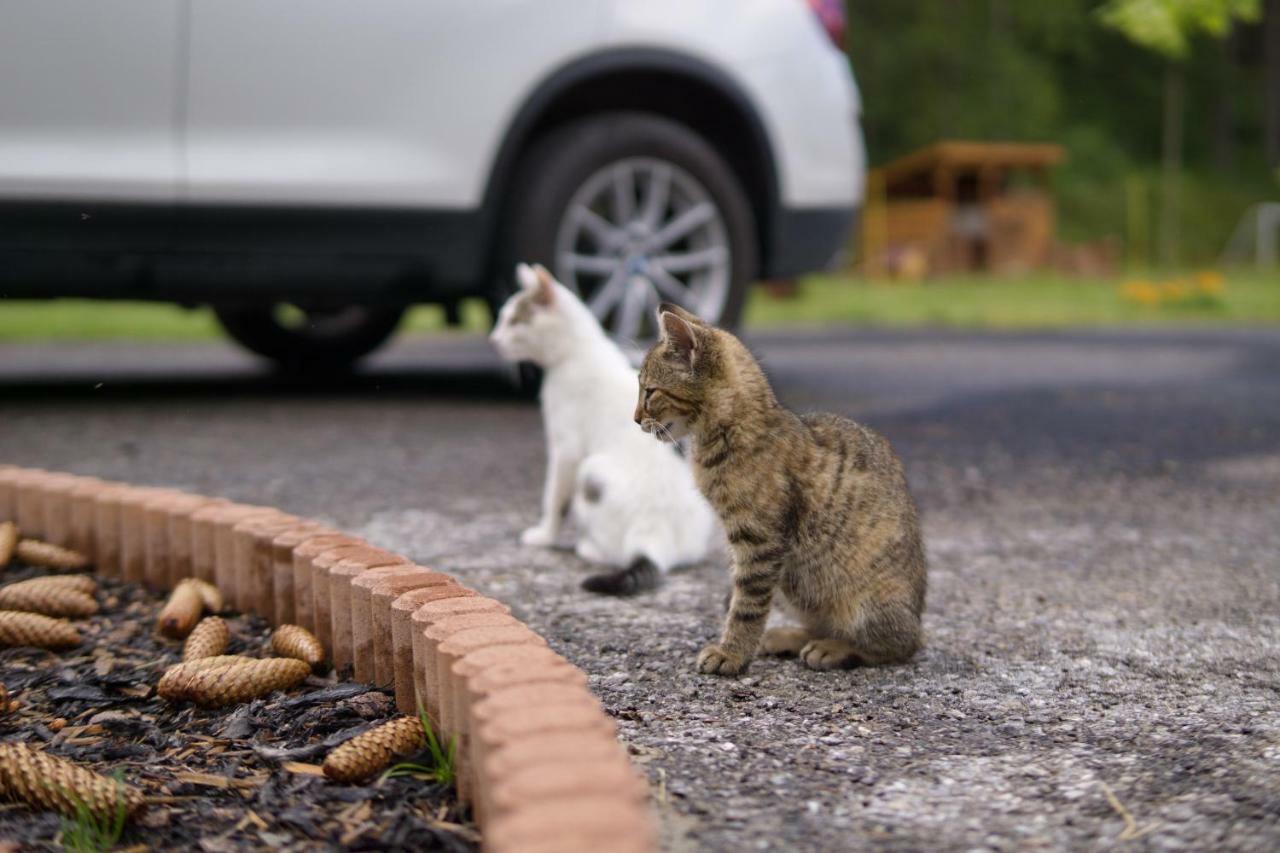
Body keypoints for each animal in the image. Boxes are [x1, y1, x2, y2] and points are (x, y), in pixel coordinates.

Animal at [486, 261, 716, 591]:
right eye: (503, 318)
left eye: (514, 321)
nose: (492, 340)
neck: (577, 352)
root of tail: (655, 537)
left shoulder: (566, 449)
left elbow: (554, 498)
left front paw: (544, 535)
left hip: (590, 471)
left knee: (615, 552)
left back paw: (587, 547)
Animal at [634, 303, 926, 671]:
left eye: (650, 392)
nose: (634, 418)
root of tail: (917, 616)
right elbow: (739, 596)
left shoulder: (760, 540)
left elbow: (747, 604)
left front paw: (732, 652)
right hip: (795, 585)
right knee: (820, 623)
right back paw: (790, 637)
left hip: (864, 601)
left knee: (896, 645)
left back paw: (833, 648)